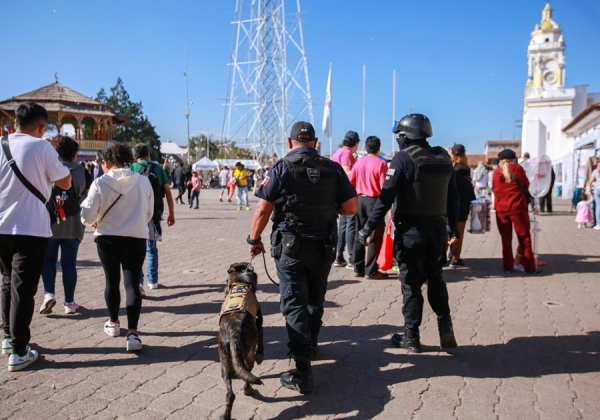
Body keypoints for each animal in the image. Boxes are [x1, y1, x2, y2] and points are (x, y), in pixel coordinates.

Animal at [216, 262, 262, 420]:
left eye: (226, 280)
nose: (224, 290)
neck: (240, 281)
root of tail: (233, 330)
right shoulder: (259, 320)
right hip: (248, 354)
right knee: (248, 373)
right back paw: (248, 390)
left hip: (224, 358)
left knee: (230, 394)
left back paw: (226, 415)